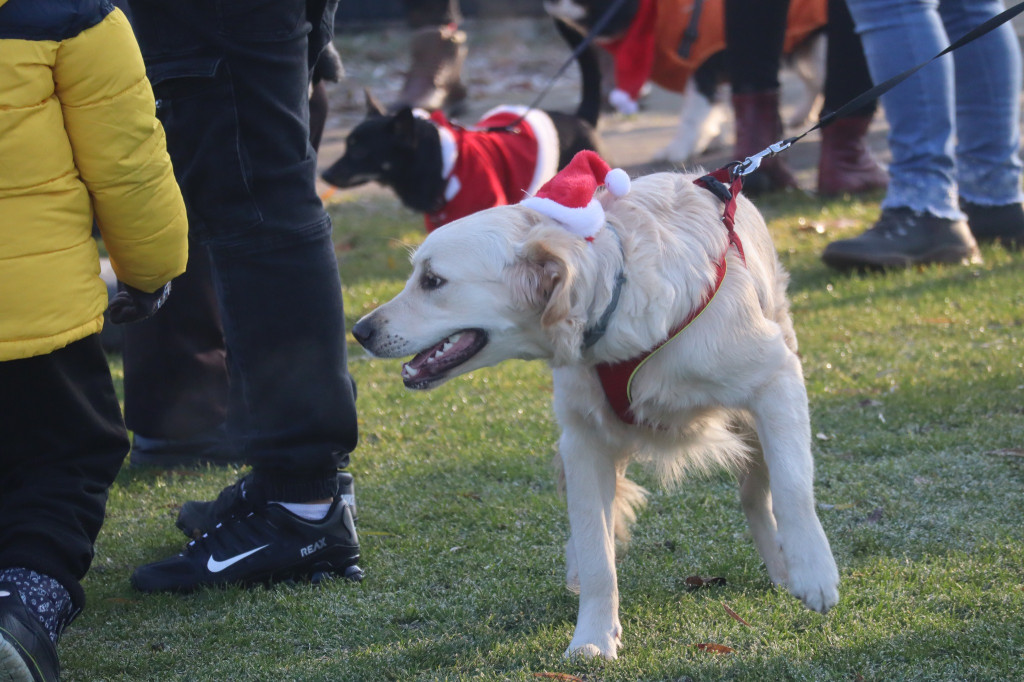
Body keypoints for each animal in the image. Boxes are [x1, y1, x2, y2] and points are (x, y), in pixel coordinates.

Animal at [352, 166, 839, 655]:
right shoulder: (583, 440)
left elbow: (794, 487)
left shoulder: (777, 378)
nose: (359, 330)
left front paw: (815, 571)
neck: (614, 305)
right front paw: (594, 638)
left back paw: (783, 568)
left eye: (433, 280)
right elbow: (595, 551)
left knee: (756, 494)